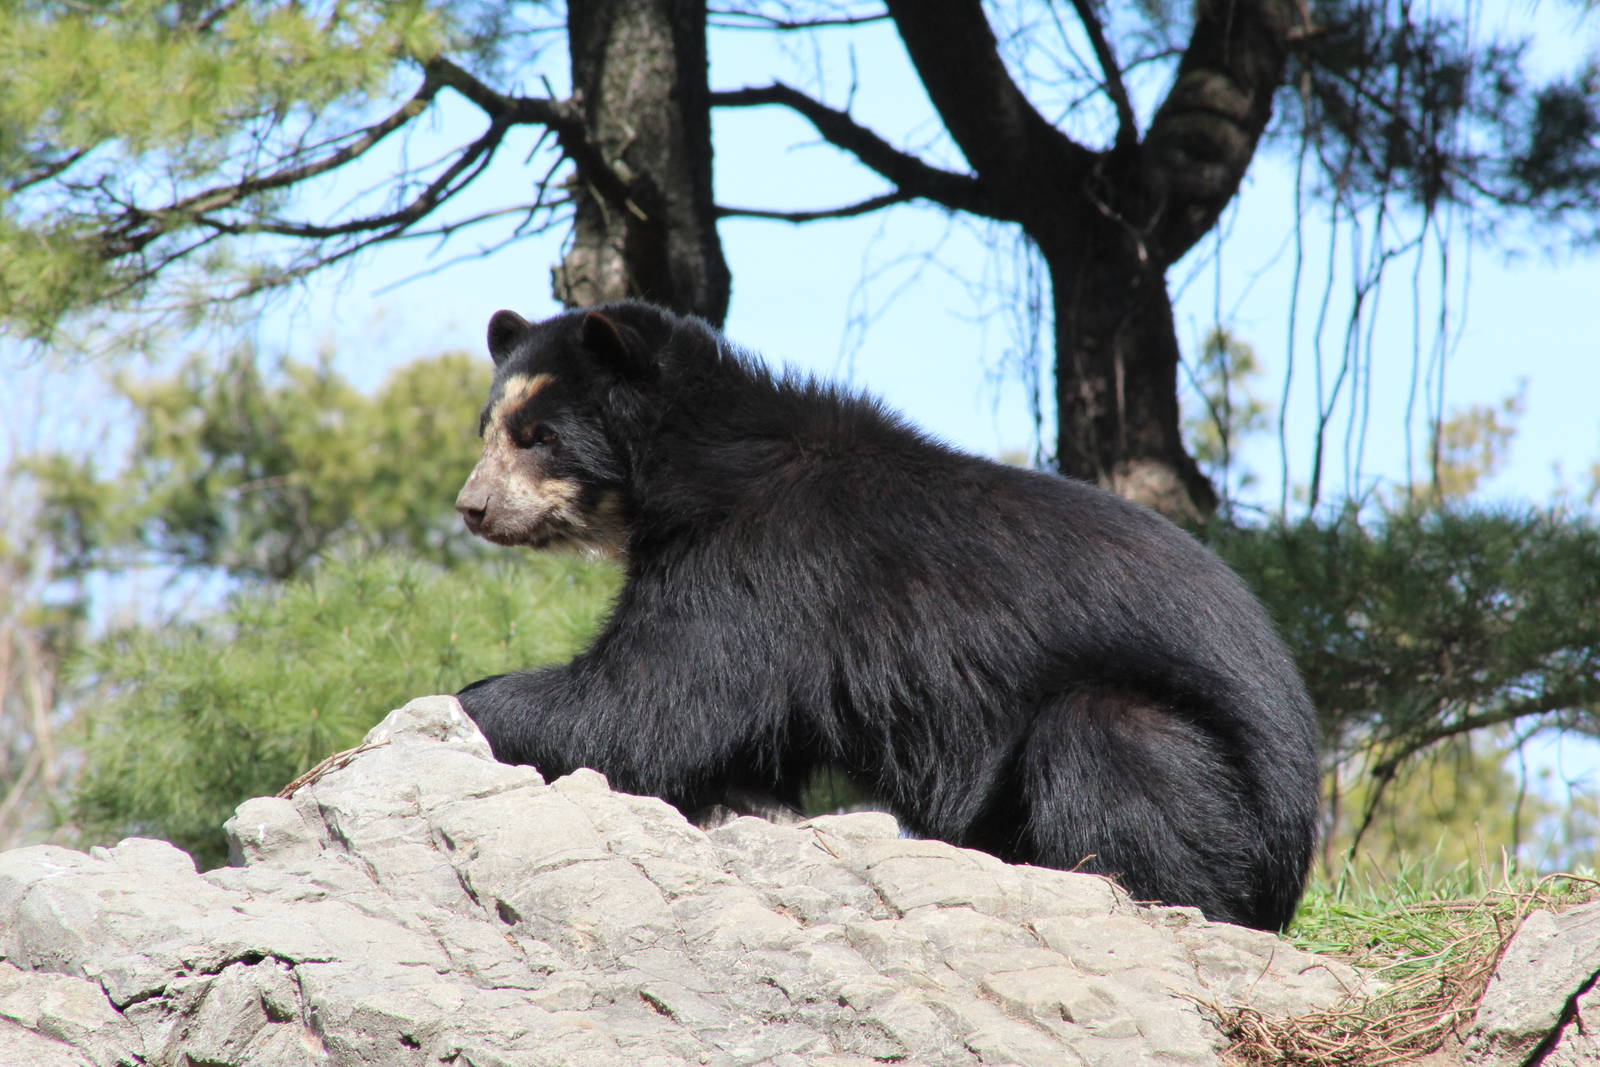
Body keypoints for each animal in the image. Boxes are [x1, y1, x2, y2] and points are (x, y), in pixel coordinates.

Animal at [453, 300, 1320, 931]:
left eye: (540, 436)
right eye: (490, 429)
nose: (472, 507)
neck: (696, 458)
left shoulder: (762, 564)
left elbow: (650, 699)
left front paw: (468, 704)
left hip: (1217, 786)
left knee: (1113, 744)